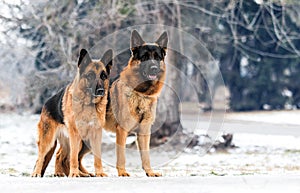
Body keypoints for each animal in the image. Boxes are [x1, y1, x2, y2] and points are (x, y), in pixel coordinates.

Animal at [31, 48, 113, 178]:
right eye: (90, 75)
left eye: (103, 76)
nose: (101, 91)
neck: (88, 105)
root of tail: (46, 102)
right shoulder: (75, 134)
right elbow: (73, 157)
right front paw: (73, 174)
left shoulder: (96, 134)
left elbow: (97, 158)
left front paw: (99, 173)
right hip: (48, 141)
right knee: (42, 157)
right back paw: (38, 173)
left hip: (84, 143)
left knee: (62, 156)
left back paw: (77, 173)